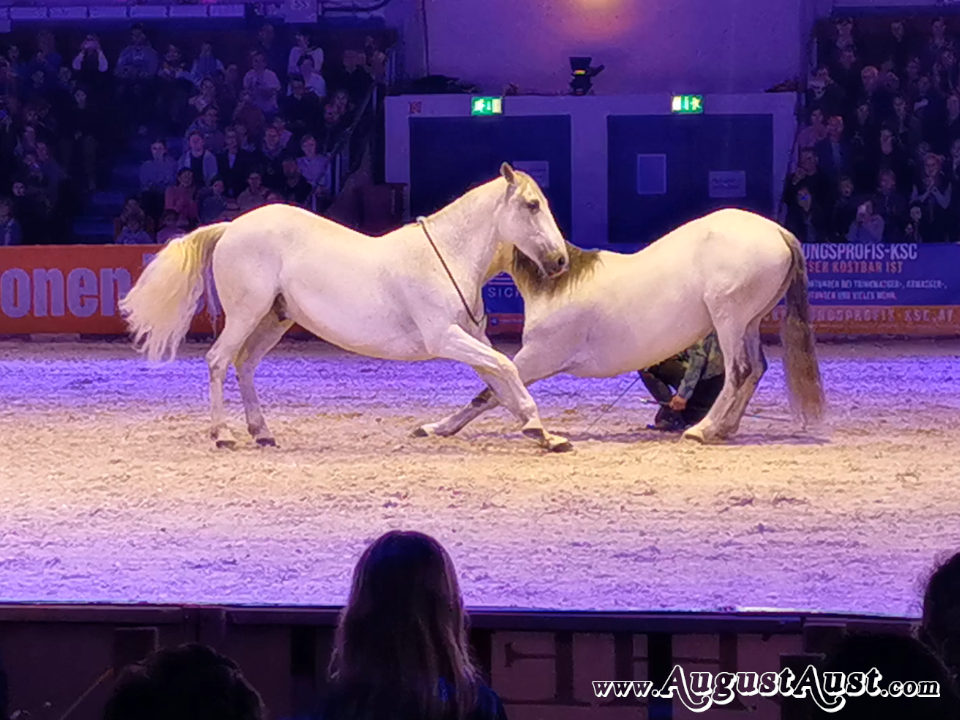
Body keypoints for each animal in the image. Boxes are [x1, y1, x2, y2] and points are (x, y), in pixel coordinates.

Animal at [119, 163, 574, 451]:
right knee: (218, 360)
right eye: (532, 205)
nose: (559, 261)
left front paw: (544, 434)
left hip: (274, 320)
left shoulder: (472, 338)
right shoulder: (444, 338)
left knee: (244, 364)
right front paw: (537, 428)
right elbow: (507, 370)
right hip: (246, 314)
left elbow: (498, 379)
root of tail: (231, 226)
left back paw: (262, 433)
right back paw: (224, 435)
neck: (447, 254)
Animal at [414, 208, 826, 444]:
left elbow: (490, 393)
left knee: (739, 371)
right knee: (756, 368)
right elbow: (494, 391)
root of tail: (777, 232)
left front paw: (437, 428)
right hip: (750, 322)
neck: (558, 287)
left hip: (730, 319)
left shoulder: (538, 358)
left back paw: (702, 430)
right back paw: (725, 429)